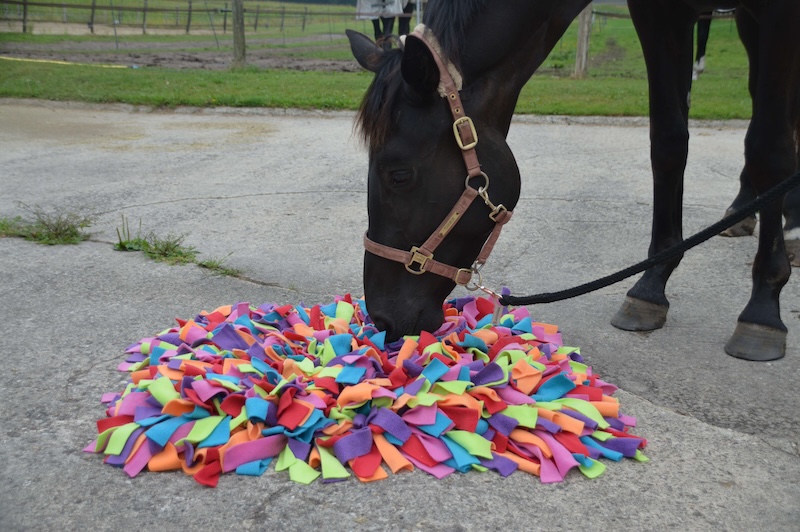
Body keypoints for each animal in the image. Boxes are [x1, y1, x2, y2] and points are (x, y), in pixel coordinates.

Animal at [348, 0, 800, 362]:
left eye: (399, 174)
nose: (382, 318)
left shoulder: (779, 14)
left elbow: (769, 150)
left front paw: (763, 308)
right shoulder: (659, 14)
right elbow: (669, 142)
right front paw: (651, 286)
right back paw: (747, 211)